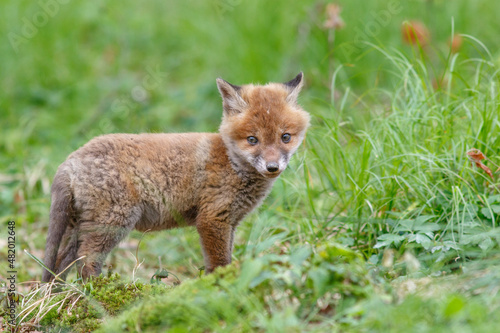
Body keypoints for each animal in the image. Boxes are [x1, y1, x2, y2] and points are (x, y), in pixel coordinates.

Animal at [42, 72, 308, 280]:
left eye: (285, 137)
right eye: (253, 140)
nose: (272, 167)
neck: (231, 163)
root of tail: (71, 159)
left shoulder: (230, 223)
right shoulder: (212, 219)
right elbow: (219, 264)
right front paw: (220, 287)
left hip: (81, 226)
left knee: (61, 264)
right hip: (113, 222)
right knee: (86, 261)